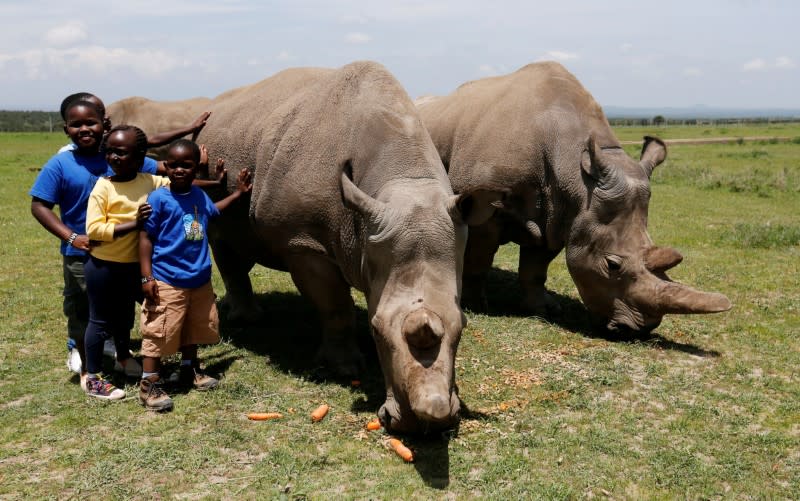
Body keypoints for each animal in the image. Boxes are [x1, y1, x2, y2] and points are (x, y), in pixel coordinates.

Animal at [195, 60, 500, 432]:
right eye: (376, 328)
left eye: (463, 324)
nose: (426, 425)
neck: (403, 178)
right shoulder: (302, 242)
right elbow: (335, 306)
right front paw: (345, 368)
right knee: (222, 240)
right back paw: (248, 320)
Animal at [416, 63, 736, 336]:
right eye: (612, 265)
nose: (638, 330)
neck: (576, 172)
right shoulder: (490, 208)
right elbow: (479, 259)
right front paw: (476, 305)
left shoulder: (559, 215)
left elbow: (536, 269)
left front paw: (543, 309)